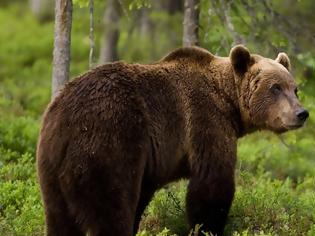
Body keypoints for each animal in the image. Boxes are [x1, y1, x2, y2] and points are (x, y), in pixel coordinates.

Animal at [36, 45, 308, 235]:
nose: (301, 113)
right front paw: (207, 228)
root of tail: (64, 117)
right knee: (110, 209)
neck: (228, 102)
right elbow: (212, 185)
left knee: (59, 219)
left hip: (51, 168)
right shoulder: (205, 121)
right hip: (108, 144)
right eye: (275, 87)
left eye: (294, 88)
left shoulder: (149, 163)